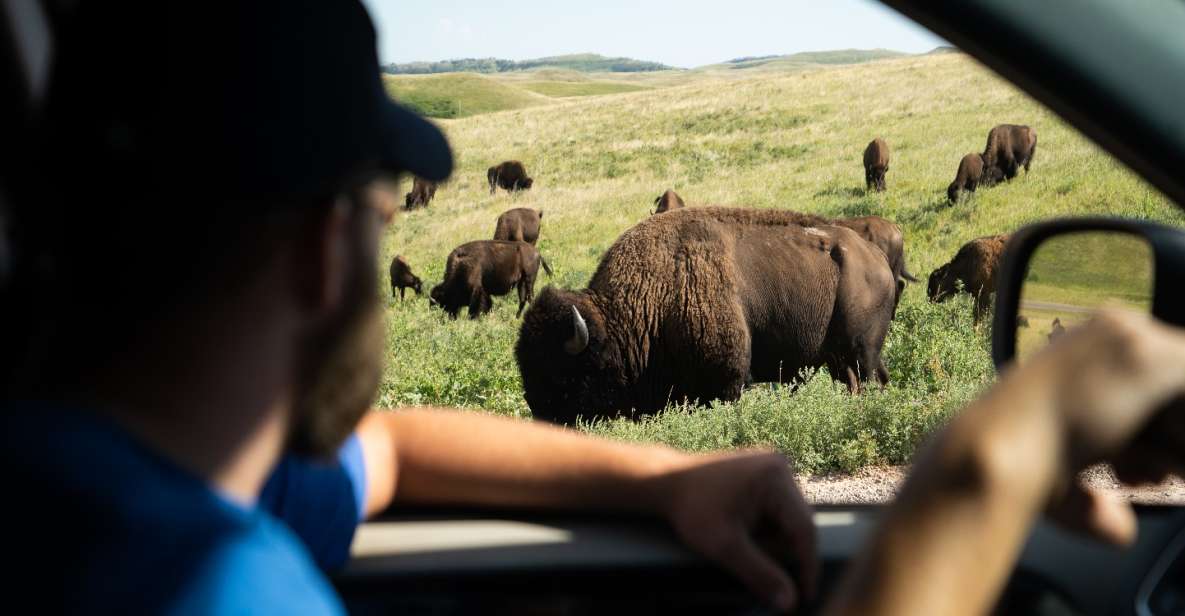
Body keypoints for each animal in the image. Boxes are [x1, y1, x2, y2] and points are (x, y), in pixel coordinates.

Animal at [519, 207, 895, 424]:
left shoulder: (726, 380)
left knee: (869, 380)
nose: (540, 416)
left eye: (560, 373)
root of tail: (876, 258)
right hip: (842, 358)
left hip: (860, 351)